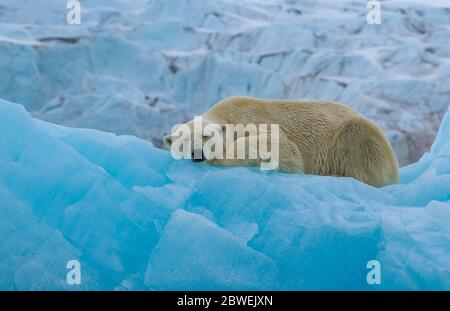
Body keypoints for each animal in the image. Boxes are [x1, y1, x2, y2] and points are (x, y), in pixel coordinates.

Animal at [163, 96, 400, 188]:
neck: (228, 115)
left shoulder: (255, 123)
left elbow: (280, 147)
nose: (197, 154)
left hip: (360, 136)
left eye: (206, 135)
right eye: (183, 141)